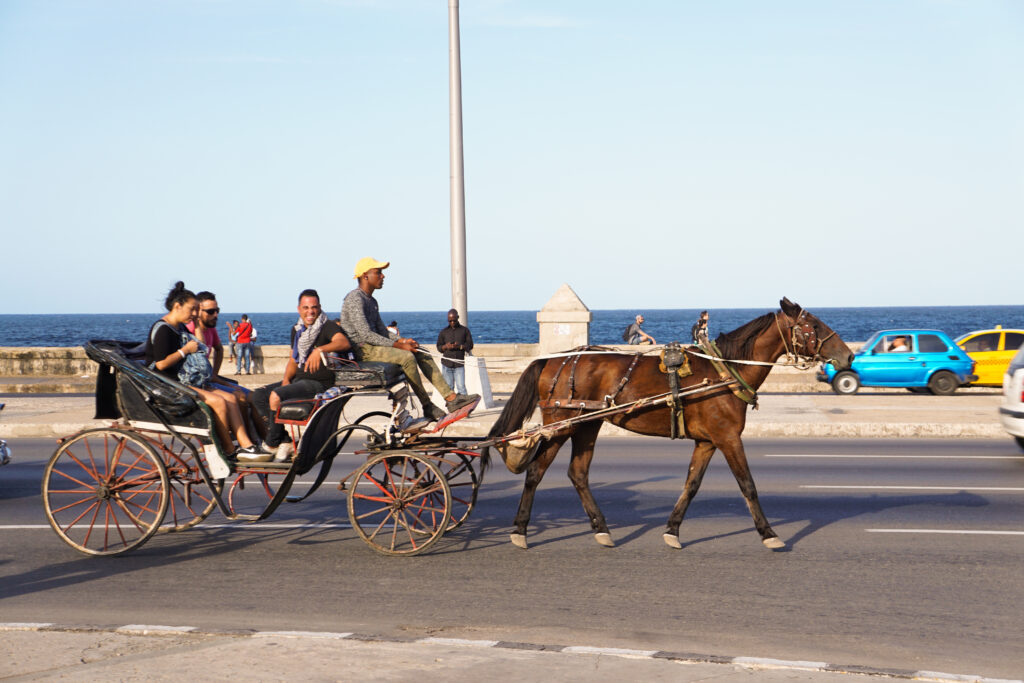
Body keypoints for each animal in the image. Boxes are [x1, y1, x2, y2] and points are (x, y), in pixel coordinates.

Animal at [483, 296, 851, 548]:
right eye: (813, 326)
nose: (848, 355)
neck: (725, 371)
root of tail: (553, 360)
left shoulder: (707, 441)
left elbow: (691, 484)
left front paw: (672, 530)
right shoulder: (728, 437)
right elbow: (748, 485)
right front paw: (769, 533)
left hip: (587, 424)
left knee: (578, 473)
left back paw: (600, 528)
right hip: (562, 423)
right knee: (536, 471)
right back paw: (520, 530)